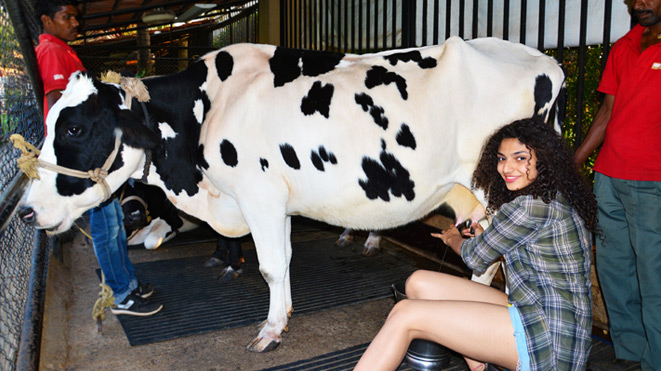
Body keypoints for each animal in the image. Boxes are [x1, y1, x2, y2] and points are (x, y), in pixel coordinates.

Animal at [14, 37, 564, 354]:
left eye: (76, 128)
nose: (25, 211)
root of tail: (542, 59)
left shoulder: (257, 194)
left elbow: (271, 265)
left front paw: (270, 330)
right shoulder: (274, 199)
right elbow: (284, 260)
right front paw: (284, 314)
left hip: (494, 188)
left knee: (496, 259)